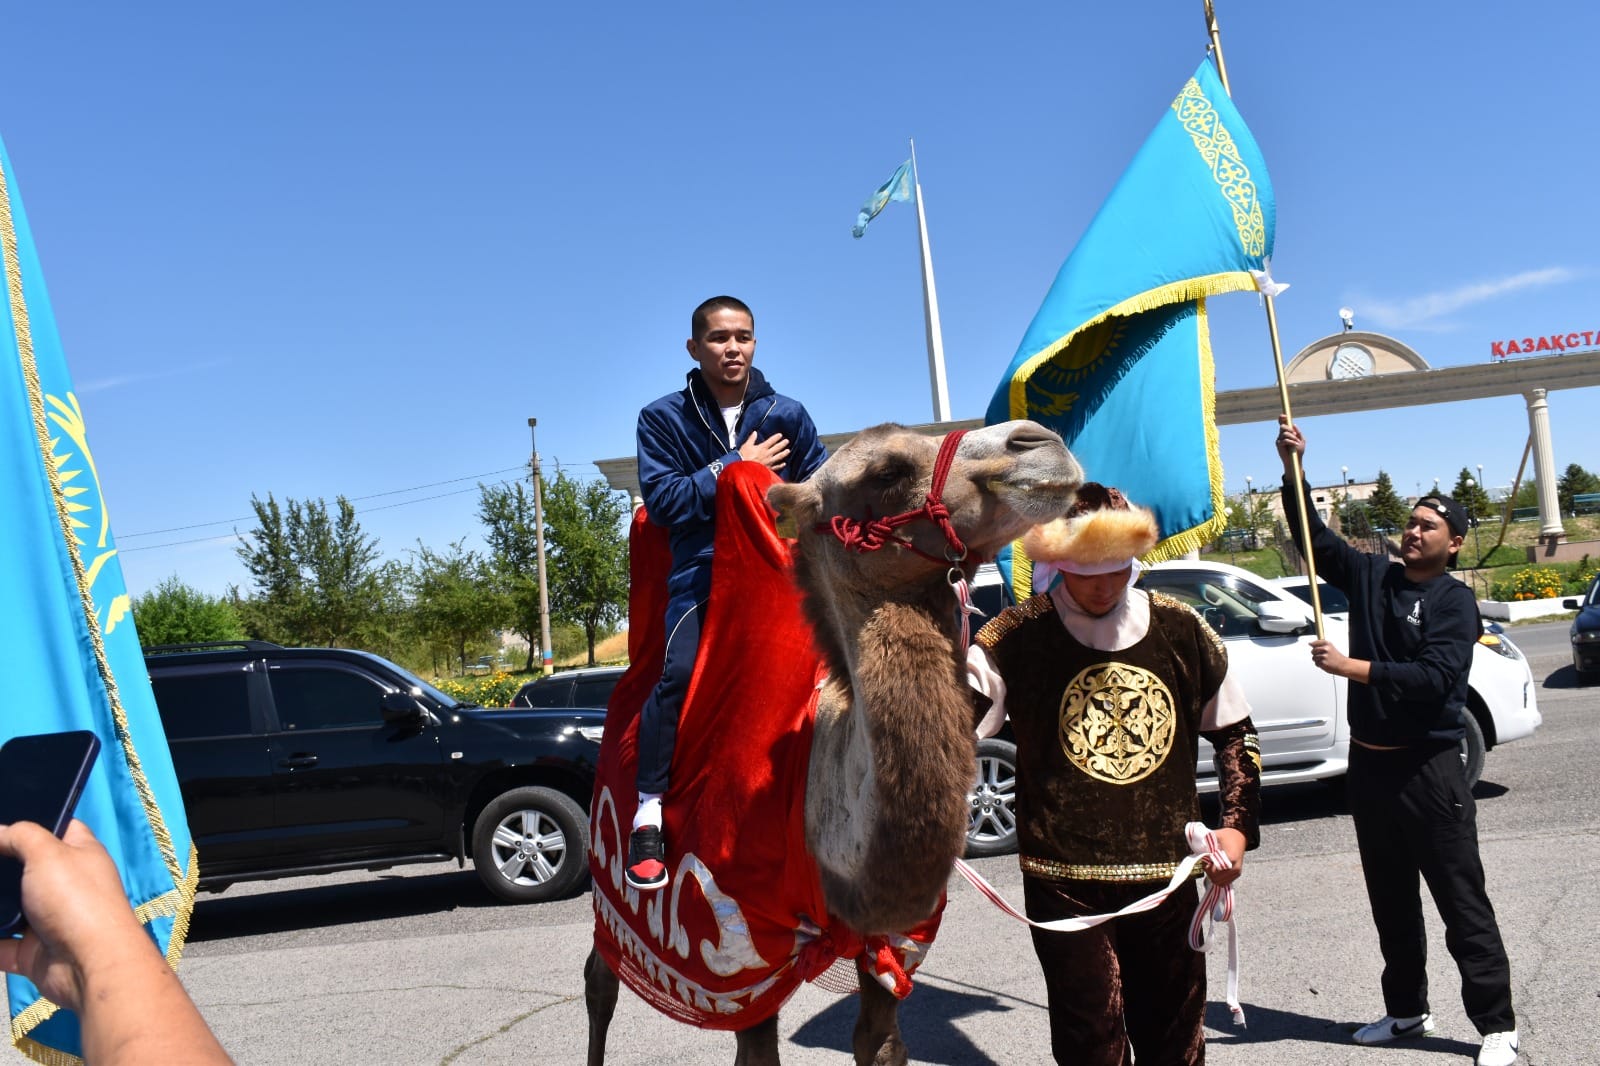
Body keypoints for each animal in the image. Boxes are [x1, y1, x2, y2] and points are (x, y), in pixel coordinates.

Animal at [582, 419, 1081, 1062]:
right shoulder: (735, 960)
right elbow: (756, 1046)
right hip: (612, 892)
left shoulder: (894, 945)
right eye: (887, 472)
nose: (1039, 441)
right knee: (600, 977)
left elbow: (879, 1041)